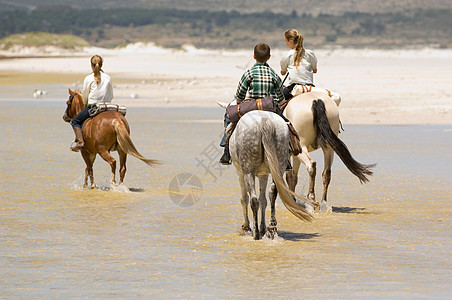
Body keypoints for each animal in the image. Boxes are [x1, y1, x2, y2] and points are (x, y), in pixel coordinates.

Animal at [228, 109, 312, 239]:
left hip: (248, 171)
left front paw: (246, 227)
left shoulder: (240, 173)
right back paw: (271, 227)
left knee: (253, 199)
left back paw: (256, 233)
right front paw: (263, 227)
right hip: (279, 164)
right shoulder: (264, 174)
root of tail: (264, 120)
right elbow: (263, 200)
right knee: (272, 192)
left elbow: (245, 199)